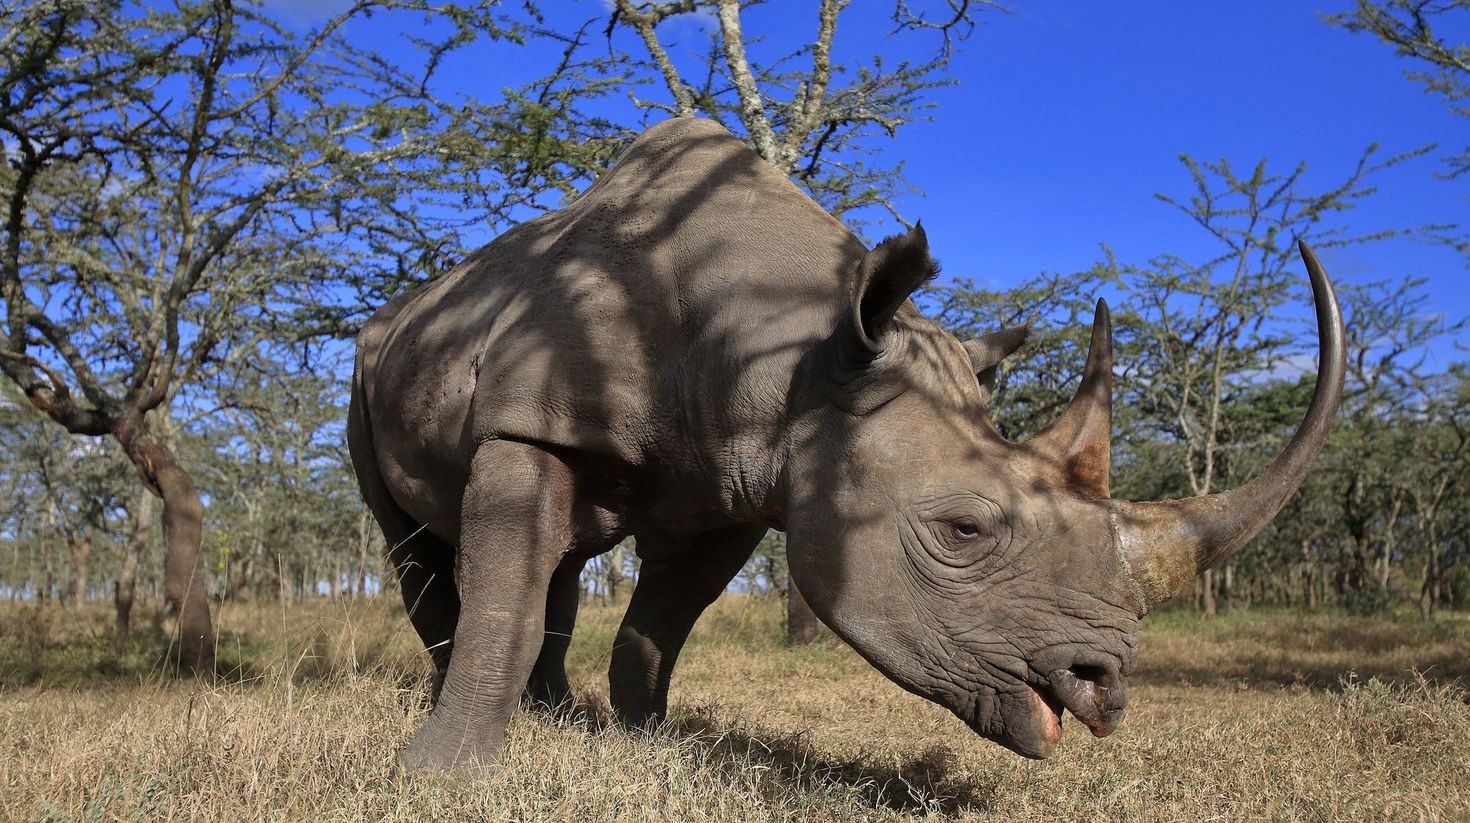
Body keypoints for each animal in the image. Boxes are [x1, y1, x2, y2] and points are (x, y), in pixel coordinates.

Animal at [348, 117, 1344, 770]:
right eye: (962, 531)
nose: (1105, 685)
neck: (793, 351)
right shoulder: (530, 419)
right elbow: (506, 603)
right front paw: (439, 775)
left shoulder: (732, 483)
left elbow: (657, 626)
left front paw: (641, 745)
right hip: (368, 363)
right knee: (420, 543)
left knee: (560, 557)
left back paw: (555, 716)